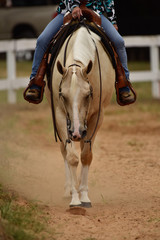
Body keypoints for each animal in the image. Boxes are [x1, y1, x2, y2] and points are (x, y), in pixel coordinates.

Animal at [45, 24, 115, 208]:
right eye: (62, 95)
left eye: (88, 94)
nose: (76, 132)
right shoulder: (60, 115)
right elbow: (71, 157)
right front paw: (75, 198)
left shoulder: (97, 116)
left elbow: (86, 156)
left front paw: (84, 195)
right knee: (64, 150)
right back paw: (68, 189)